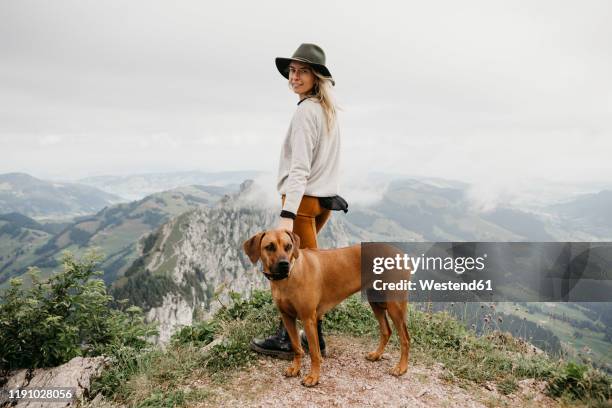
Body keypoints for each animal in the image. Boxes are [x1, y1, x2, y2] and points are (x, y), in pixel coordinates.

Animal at [244, 230, 412, 386]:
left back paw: (401, 368)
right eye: (269, 247)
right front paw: (296, 369)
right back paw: (377, 355)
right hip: (375, 301)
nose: (284, 264)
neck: (289, 276)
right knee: (386, 331)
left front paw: (313, 377)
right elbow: (297, 347)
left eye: (288, 246)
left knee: (405, 338)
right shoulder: (287, 317)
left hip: (394, 305)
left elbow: (314, 352)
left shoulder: (308, 318)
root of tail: (403, 255)